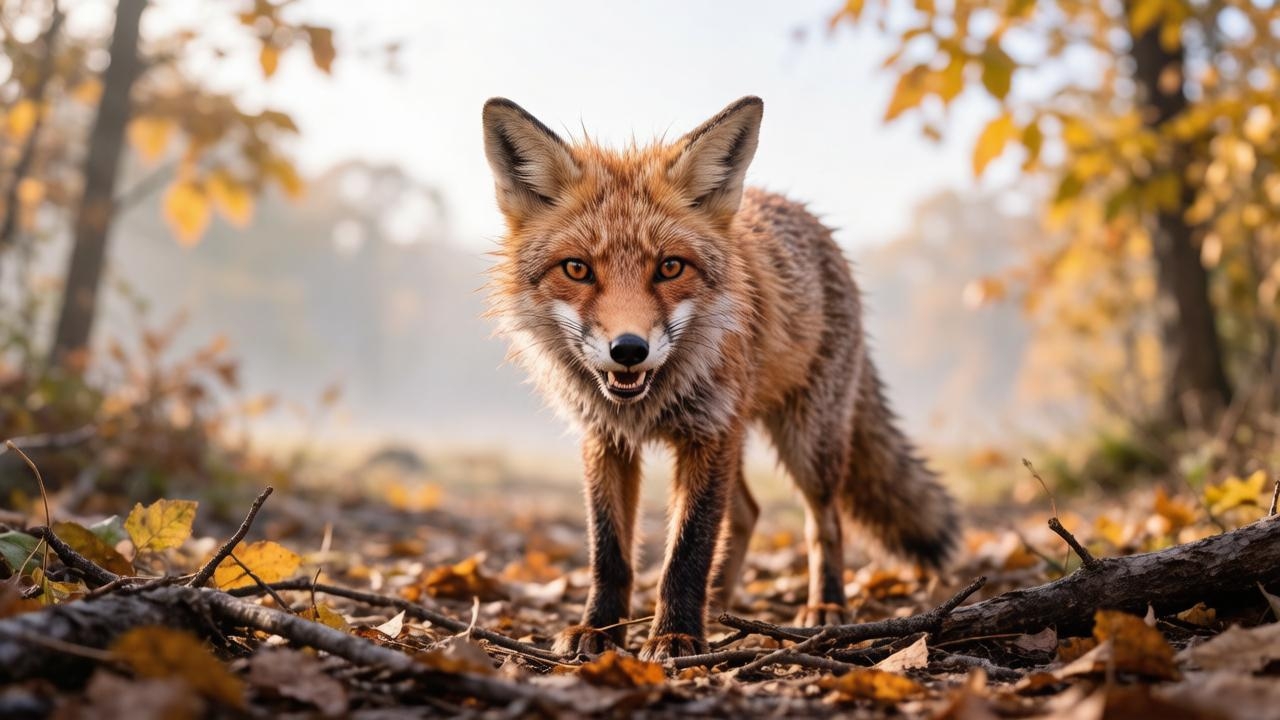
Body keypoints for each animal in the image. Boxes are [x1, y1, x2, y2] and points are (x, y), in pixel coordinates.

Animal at [481, 96, 958, 661]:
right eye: (577, 269)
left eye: (670, 267)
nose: (629, 350)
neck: (647, 403)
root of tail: (814, 222)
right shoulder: (605, 439)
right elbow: (609, 554)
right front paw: (598, 631)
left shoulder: (708, 433)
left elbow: (688, 548)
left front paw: (676, 635)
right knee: (748, 512)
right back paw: (722, 603)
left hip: (808, 445)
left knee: (825, 524)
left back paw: (825, 606)